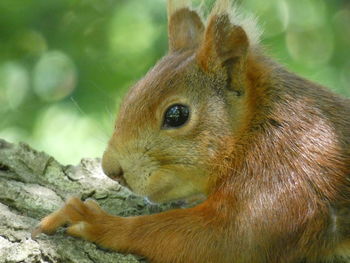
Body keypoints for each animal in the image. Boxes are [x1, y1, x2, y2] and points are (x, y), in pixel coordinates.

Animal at [32, 0, 350, 263]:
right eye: (130, 94)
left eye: (176, 115)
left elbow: (224, 241)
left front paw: (97, 221)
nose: (112, 171)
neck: (257, 129)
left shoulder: (286, 183)